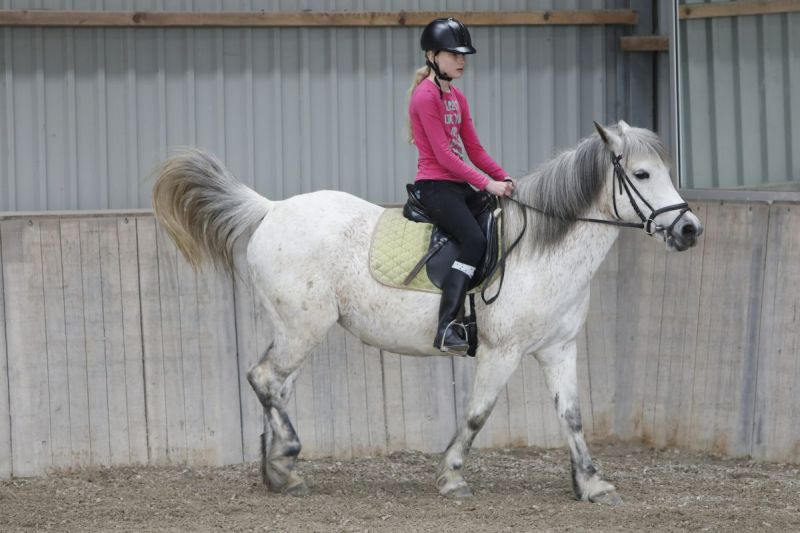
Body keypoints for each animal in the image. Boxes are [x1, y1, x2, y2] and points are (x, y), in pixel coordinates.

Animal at [150, 120, 700, 502]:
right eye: (642, 173)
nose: (690, 230)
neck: (541, 249)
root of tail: (271, 208)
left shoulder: (558, 348)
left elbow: (572, 417)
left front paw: (591, 484)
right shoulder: (502, 352)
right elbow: (477, 415)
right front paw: (451, 477)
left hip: (294, 327)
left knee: (275, 386)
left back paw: (279, 474)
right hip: (303, 326)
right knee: (264, 379)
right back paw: (286, 459)